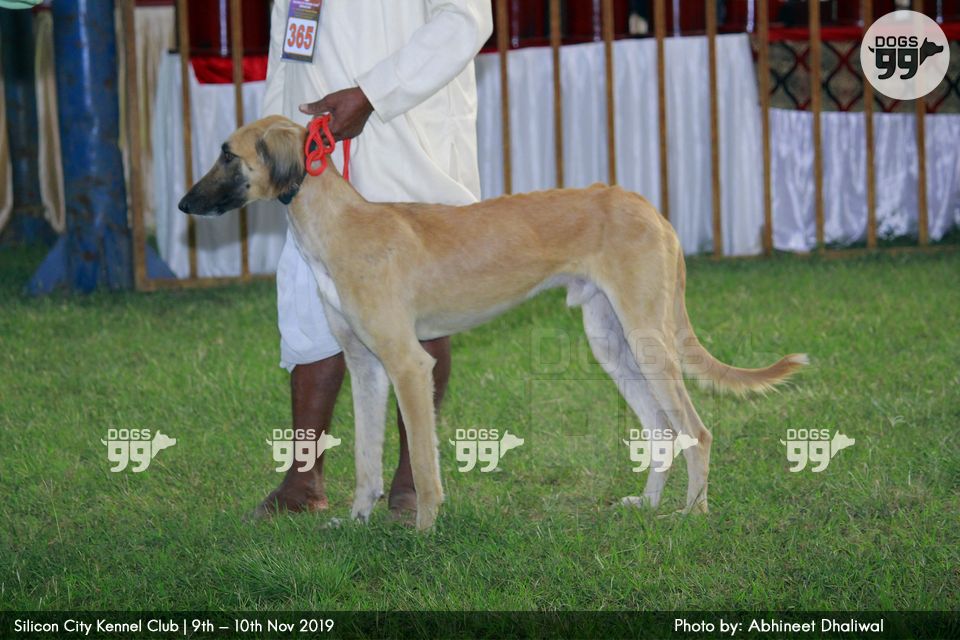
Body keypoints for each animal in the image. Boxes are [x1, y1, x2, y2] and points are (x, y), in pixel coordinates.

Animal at [179, 115, 807, 530]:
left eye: (228, 154)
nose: (184, 205)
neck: (341, 225)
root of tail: (647, 206)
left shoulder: (408, 363)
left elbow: (424, 463)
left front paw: (423, 532)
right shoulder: (365, 366)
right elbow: (363, 460)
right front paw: (357, 522)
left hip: (648, 340)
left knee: (696, 430)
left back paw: (692, 512)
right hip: (613, 343)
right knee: (661, 429)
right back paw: (649, 505)